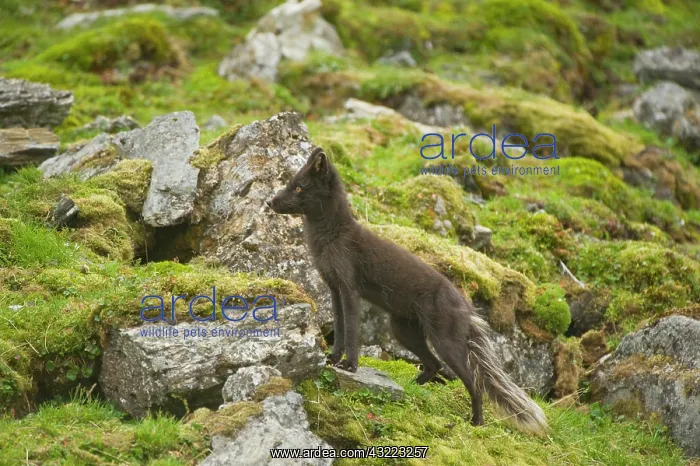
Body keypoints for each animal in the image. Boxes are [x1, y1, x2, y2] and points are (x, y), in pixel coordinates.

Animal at [267, 147, 548, 434]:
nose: (270, 202)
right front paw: (333, 359)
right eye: (290, 184)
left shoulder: (350, 290)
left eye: (299, 187)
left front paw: (350, 365)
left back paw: (476, 422)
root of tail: (466, 306)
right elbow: (340, 329)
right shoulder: (334, 290)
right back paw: (413, 389)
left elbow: (353, 332)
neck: (331, 237)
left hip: (443, 342)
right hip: (403, 331)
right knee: (434, 365)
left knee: (472, 381)